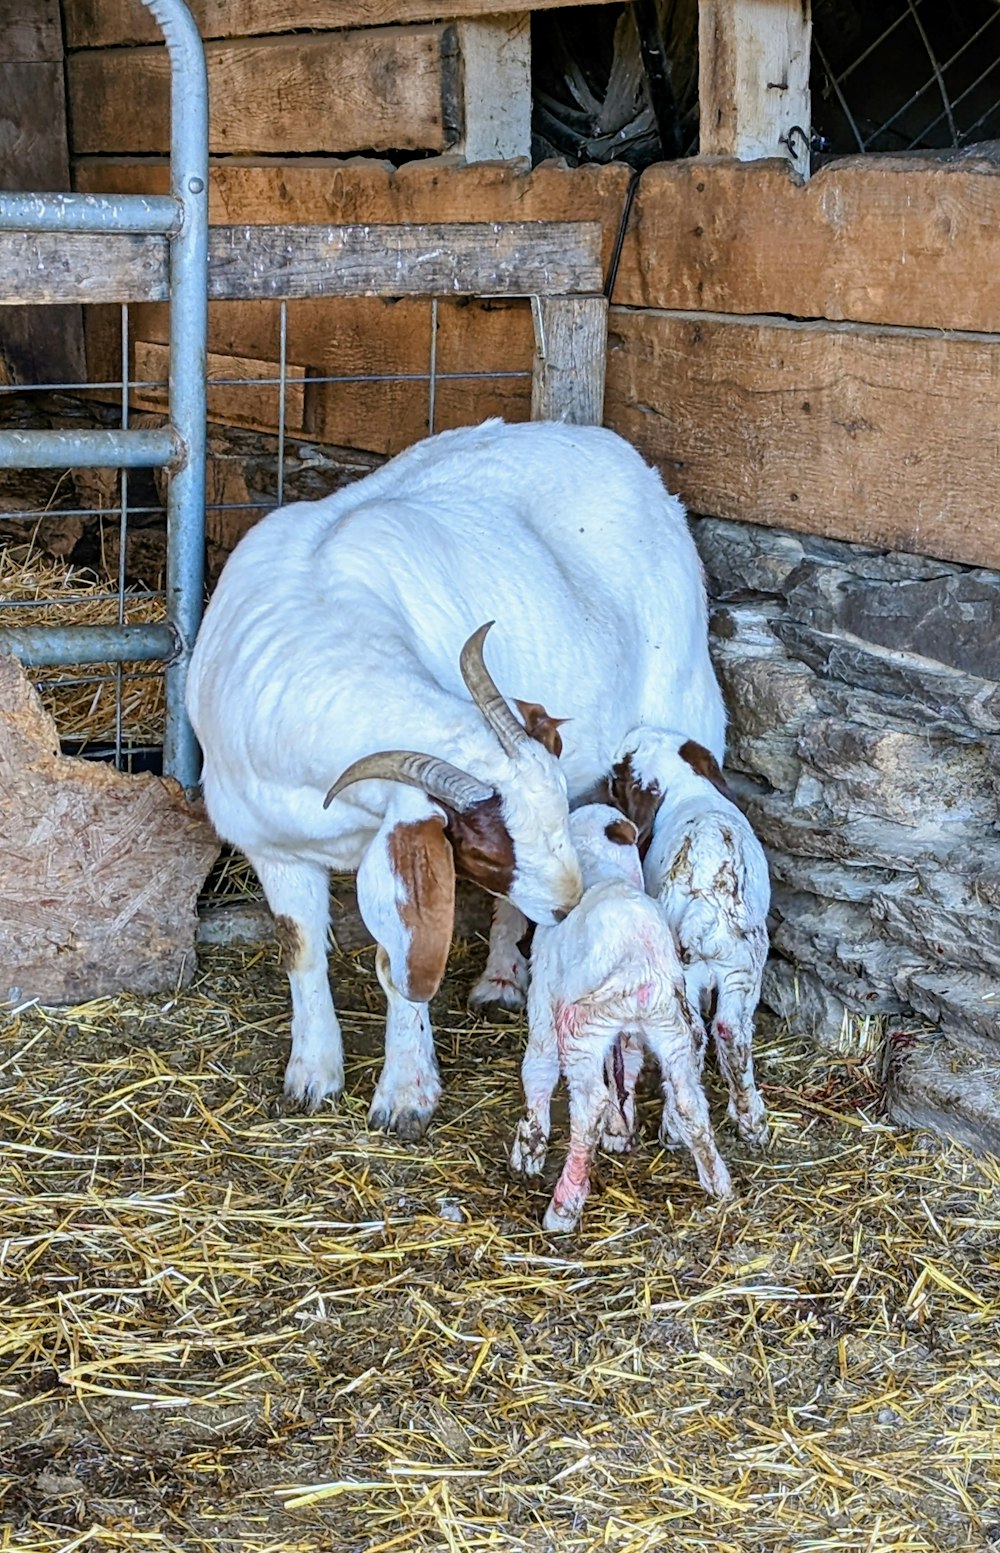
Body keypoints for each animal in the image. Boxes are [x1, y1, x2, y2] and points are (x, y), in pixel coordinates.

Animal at [187, 419, 723, 1136]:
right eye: (488, 850)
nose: (568, 904)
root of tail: (613, 445)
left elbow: (397, 963)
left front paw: (405, 1093)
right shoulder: (271, 847)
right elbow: (300, 950)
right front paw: (312, 1074)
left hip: (689, 701)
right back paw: (501, 975)